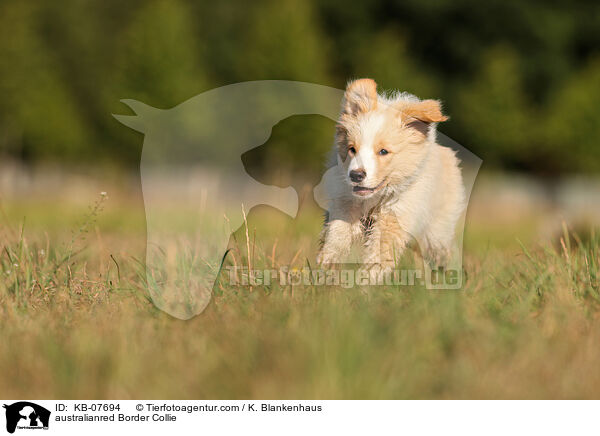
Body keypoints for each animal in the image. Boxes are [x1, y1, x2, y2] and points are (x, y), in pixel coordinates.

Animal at [316, 79, 466, 270]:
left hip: (435, 232)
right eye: (352, 149)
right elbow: (337, 233)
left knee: (440, 251)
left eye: (383, 151)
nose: (355, 175)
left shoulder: (395, 217)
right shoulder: (344, 201)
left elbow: (378, 256)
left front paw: (365, 277)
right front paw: (327, 264)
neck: (373, 200)